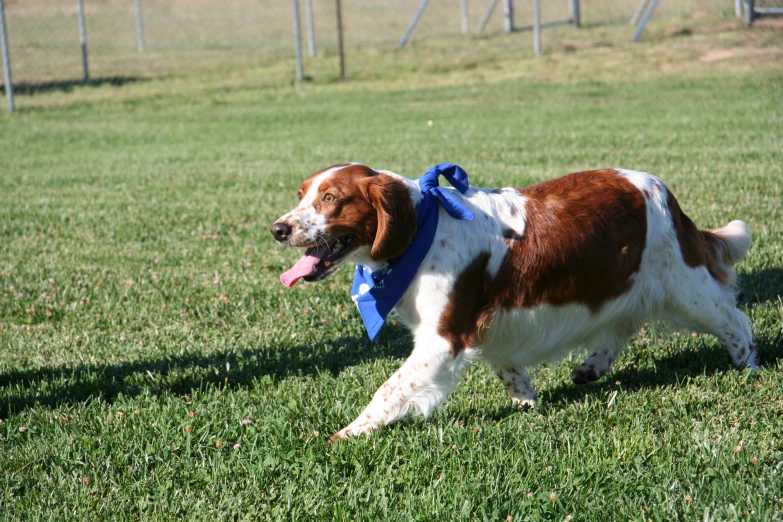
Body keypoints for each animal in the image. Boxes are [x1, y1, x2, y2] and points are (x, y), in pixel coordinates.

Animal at [272, 161, 756, 438]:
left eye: (331, 198)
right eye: (301, 194)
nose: (278, 229)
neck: (423, 232)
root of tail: (662, 191)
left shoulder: (442, 339)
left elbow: (390, 388)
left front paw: (350, 432)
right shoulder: (483, 323)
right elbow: (506, 365)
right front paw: (526, 400)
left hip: (685, 285)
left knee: (736, 321)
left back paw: (747, 364)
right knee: (622, 323)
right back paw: (591, 367)